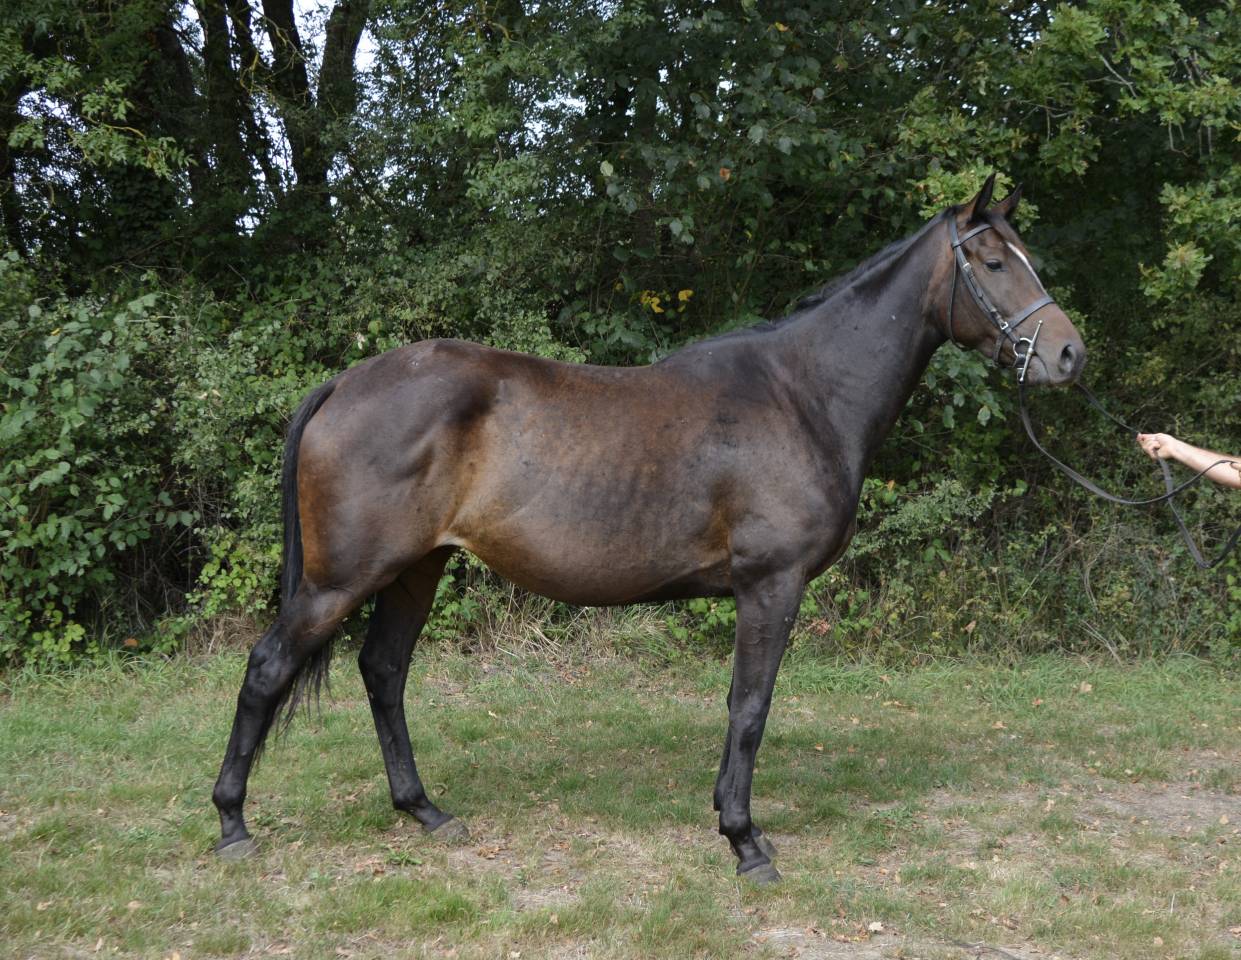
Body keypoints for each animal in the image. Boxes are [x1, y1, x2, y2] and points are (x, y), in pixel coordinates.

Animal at [212, 174, 1085, 884]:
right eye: (994, 263)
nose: (1068, 355)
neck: (801, 395)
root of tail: (344, 384)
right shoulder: (770, 585)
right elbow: (749, 706)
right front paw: (744, 841)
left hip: (414, 570)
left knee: (383, 672)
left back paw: (424, 811)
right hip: (340, 580)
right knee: (268, 668)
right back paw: (231, 825)